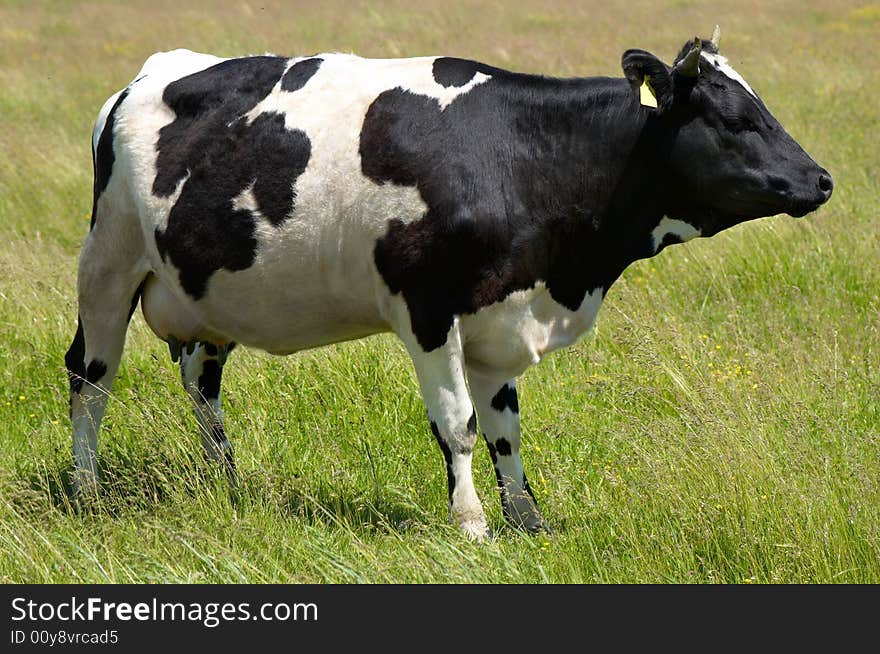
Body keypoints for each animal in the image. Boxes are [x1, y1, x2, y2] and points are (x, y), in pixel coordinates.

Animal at [67, 28, 832, 540]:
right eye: (734, 118)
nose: (821, 179)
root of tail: (152, 73)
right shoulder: (427, 307)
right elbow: (459, 425)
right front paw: (471, 525)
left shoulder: (501, 318)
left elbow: (505, 432)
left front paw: (529, 522)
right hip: (108, 259)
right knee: (89, 376)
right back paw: (86, 491)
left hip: (204, 297)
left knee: (202, 385)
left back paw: (228, 488)